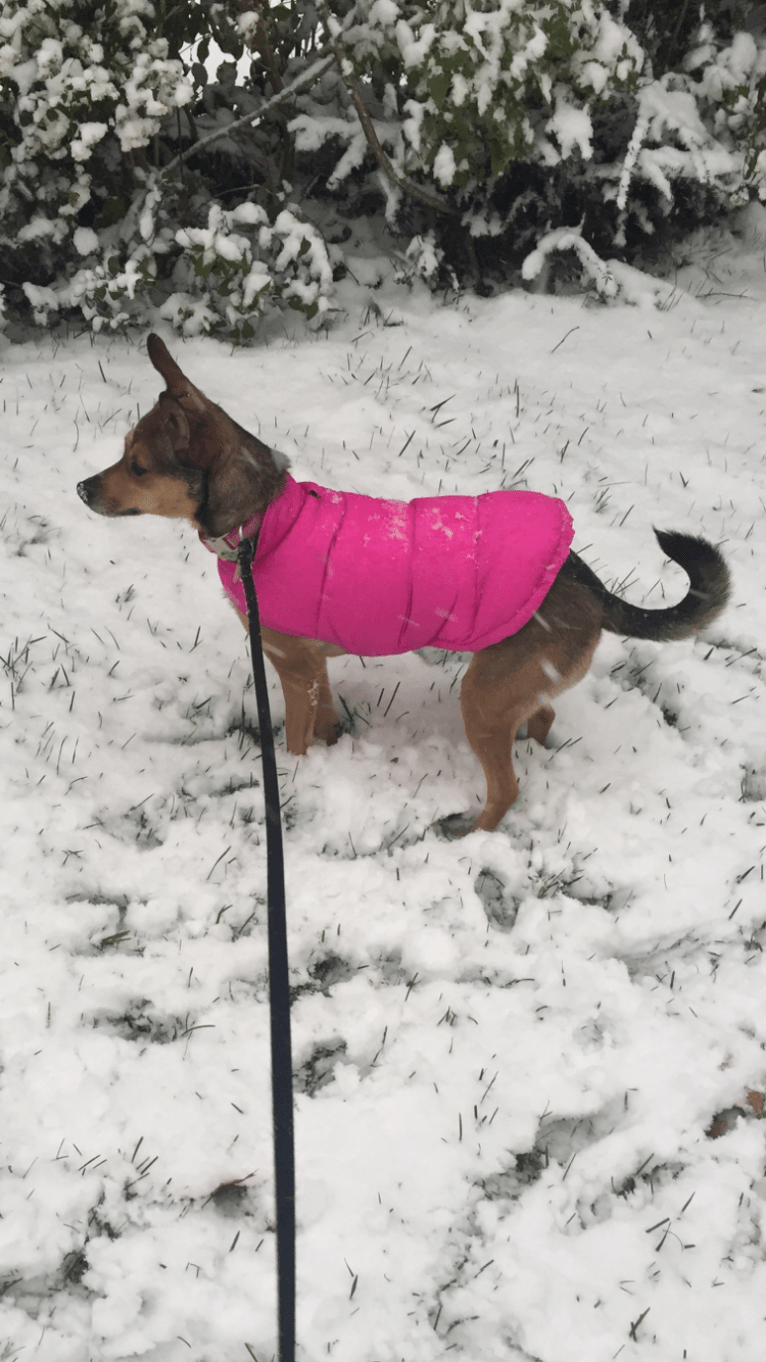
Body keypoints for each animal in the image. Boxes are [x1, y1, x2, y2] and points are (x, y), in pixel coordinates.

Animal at [77, 335, 725, 833]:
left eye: (138, 467)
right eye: (123, 454)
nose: (82, 488)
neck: (262, 521)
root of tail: (590, 584)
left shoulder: (290, 667)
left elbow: (296, 737)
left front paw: (296, 777)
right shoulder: (312, 667)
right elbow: (325, 717)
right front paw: (332, 747)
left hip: (482, 694)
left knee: (507, 788)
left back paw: (470, 833)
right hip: (515, 686)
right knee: (542, 718)